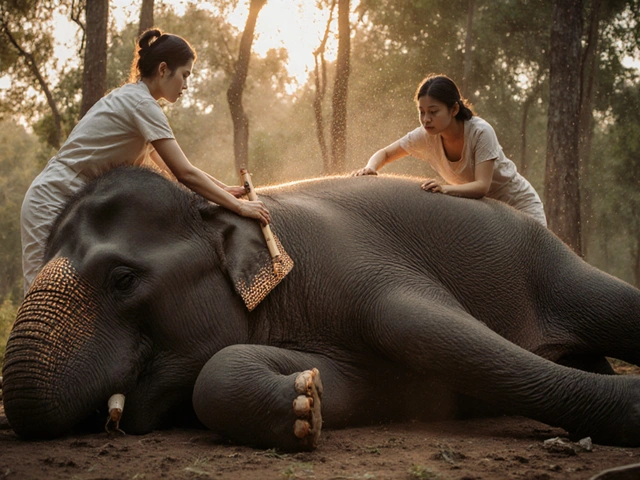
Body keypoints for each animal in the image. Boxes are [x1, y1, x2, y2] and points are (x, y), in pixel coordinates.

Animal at [3, 165, 640, 452]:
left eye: (122, 279)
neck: (218, 209)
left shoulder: (359, 263)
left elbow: (438, 334)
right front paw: (309, 401)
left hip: (549, 260)